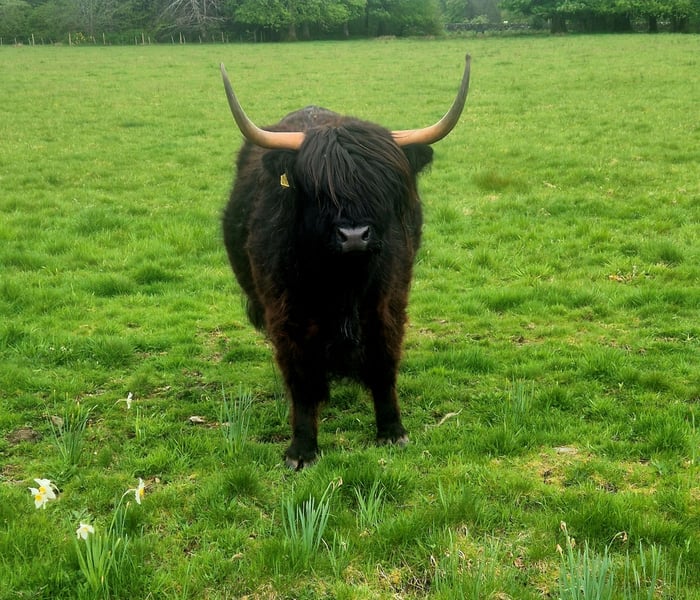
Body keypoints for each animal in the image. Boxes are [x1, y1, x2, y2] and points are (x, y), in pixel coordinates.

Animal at [220, 55, 471, 469]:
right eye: (318, 189)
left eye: (382, 185)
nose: (354, 235)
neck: (343, 283)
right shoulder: (286, 313)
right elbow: (302, 380)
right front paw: (302, 450)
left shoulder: (387, 303)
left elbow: (383, 362)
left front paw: (392, 431)